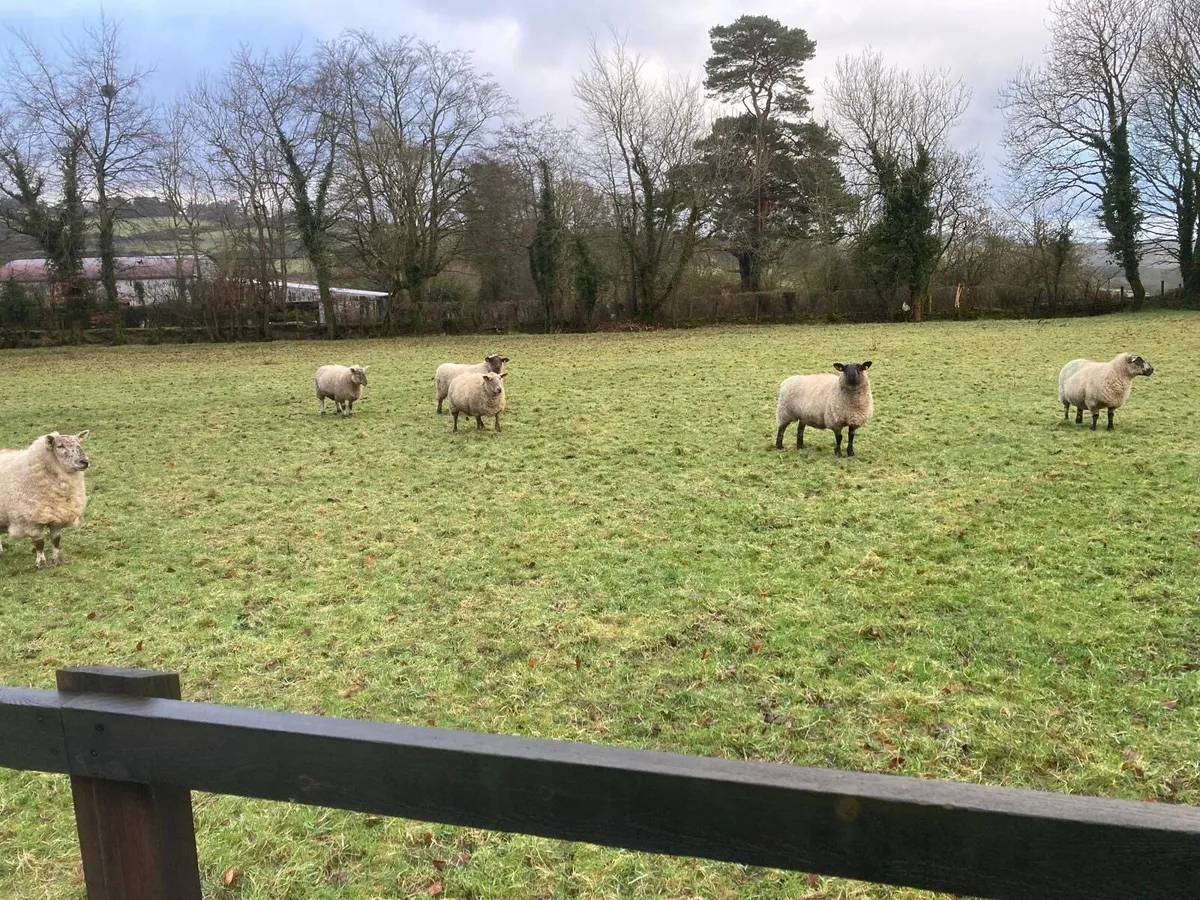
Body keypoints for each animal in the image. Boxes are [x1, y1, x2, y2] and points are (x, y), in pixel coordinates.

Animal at [0, 431, 90, 568]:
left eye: (79, 443)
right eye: (60, 446)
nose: (84, 461)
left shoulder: (58, 516)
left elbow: (56, 540)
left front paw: (57, 561)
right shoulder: (32, 519)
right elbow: (39, 543)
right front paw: (41, 564)